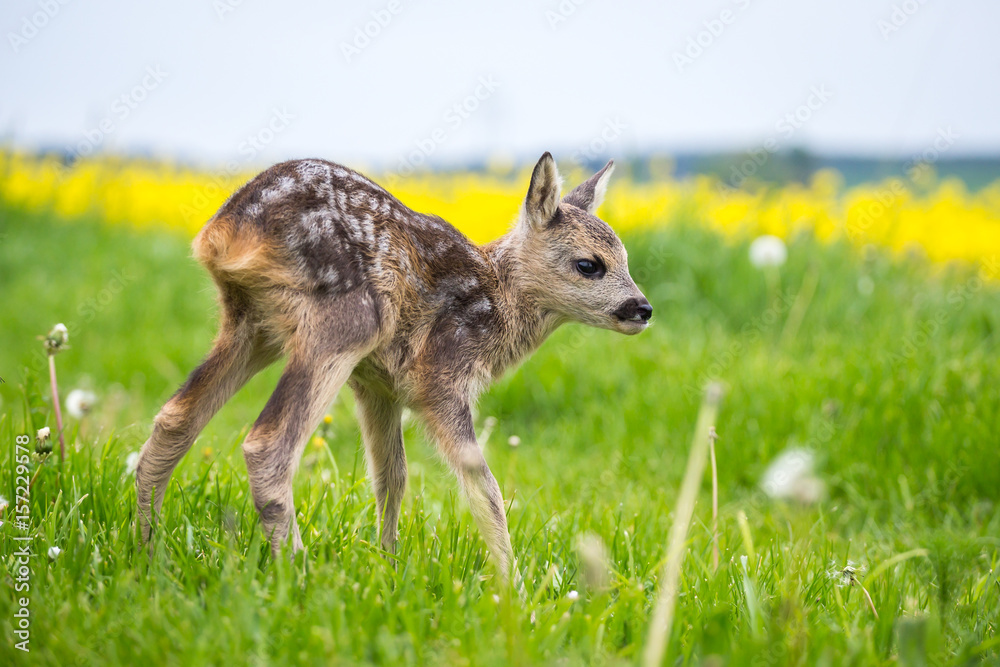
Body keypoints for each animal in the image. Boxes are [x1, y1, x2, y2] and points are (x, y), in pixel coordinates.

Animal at [135, 152, 652, 583]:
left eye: (626, 258)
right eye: (589, 264)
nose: (642, 308)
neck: (498, 301)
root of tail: (227, 230)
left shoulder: (377, 386)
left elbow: (392, 476)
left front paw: (388, 563)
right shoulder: (442, 377)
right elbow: (482, 483)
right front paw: (513, 591)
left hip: (251, 325)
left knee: (175, 418)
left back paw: (147, 553)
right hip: (347, 320)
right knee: (267, 443)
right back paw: (300, 576)